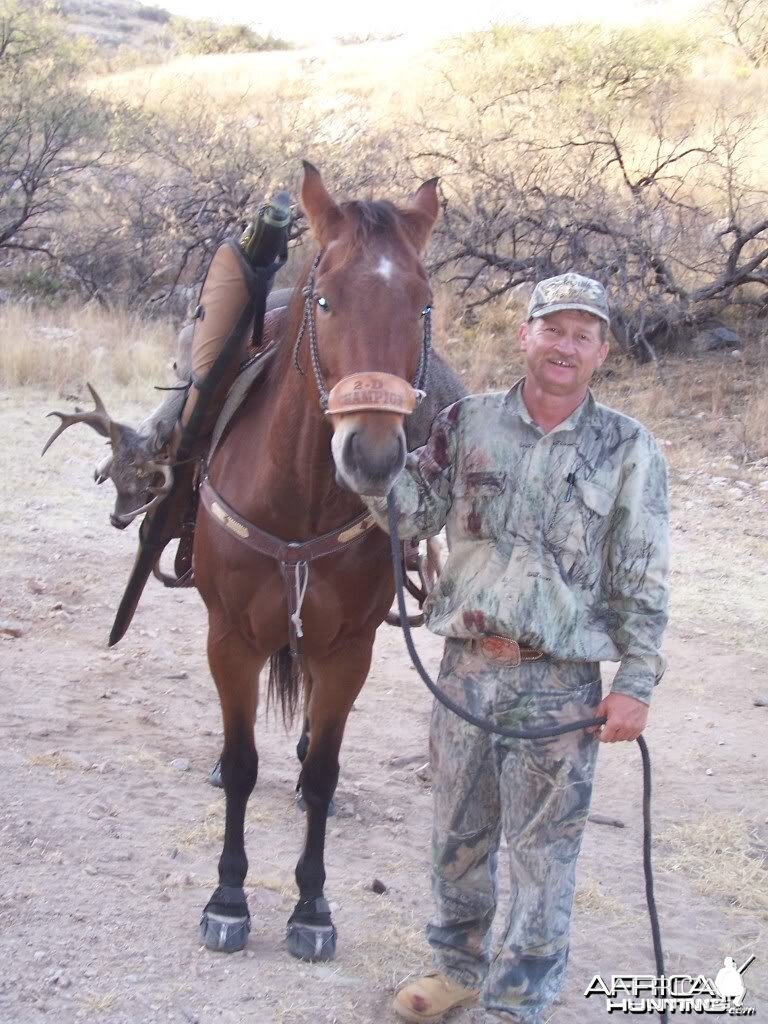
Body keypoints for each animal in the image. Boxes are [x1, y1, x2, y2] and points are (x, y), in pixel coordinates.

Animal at [196, 161, 444, 958]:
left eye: (422, 305)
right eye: (327, 299)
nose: (373, 457)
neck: (298, 498)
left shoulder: (348, 650)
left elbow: (325, 774)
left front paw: (310, 907)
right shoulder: (231, 641)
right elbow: (245, 763)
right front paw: (229, 897)